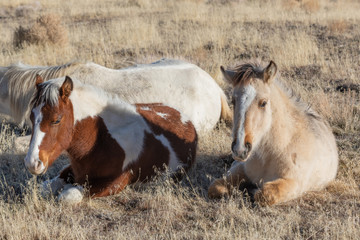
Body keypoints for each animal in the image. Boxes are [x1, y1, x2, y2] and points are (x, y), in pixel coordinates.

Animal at [23, 74, 198, 202]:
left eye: (56, 120)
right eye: (32, 117)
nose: (32, 163)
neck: (100, 140)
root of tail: (185, 118)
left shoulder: (116, 182)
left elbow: (67, 195)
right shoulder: (73, 169)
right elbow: (45, 187)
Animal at [207, 61, 338, 205]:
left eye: (263, 103)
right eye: (233, 101)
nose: (240, 149)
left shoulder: (294, 183)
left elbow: (264, 194)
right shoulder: (240, 168)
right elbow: (215, 187)